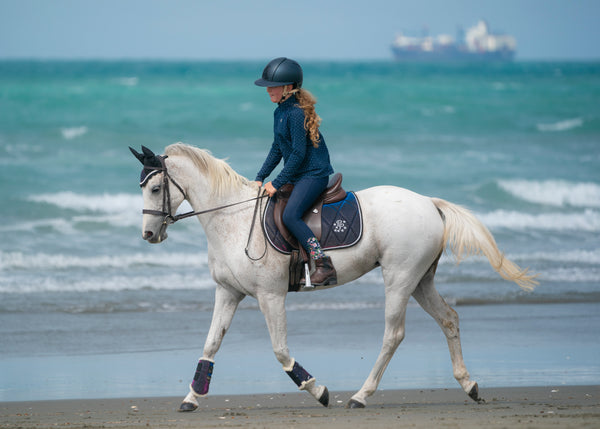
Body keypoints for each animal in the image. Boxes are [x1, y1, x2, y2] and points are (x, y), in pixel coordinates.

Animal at [129, 142, 536, 410]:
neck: (234, 218)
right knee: (448, 319)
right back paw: (469, 386)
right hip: (421, 280)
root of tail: (429, 204)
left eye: (155, 187)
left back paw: (361, 395)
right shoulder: (228, 292)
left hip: (400, 278)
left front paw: (318, 390)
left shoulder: (270, 296)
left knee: (393, 334)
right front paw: (191, 397)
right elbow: (211, 344)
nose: (148, 235)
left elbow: (280, 350)